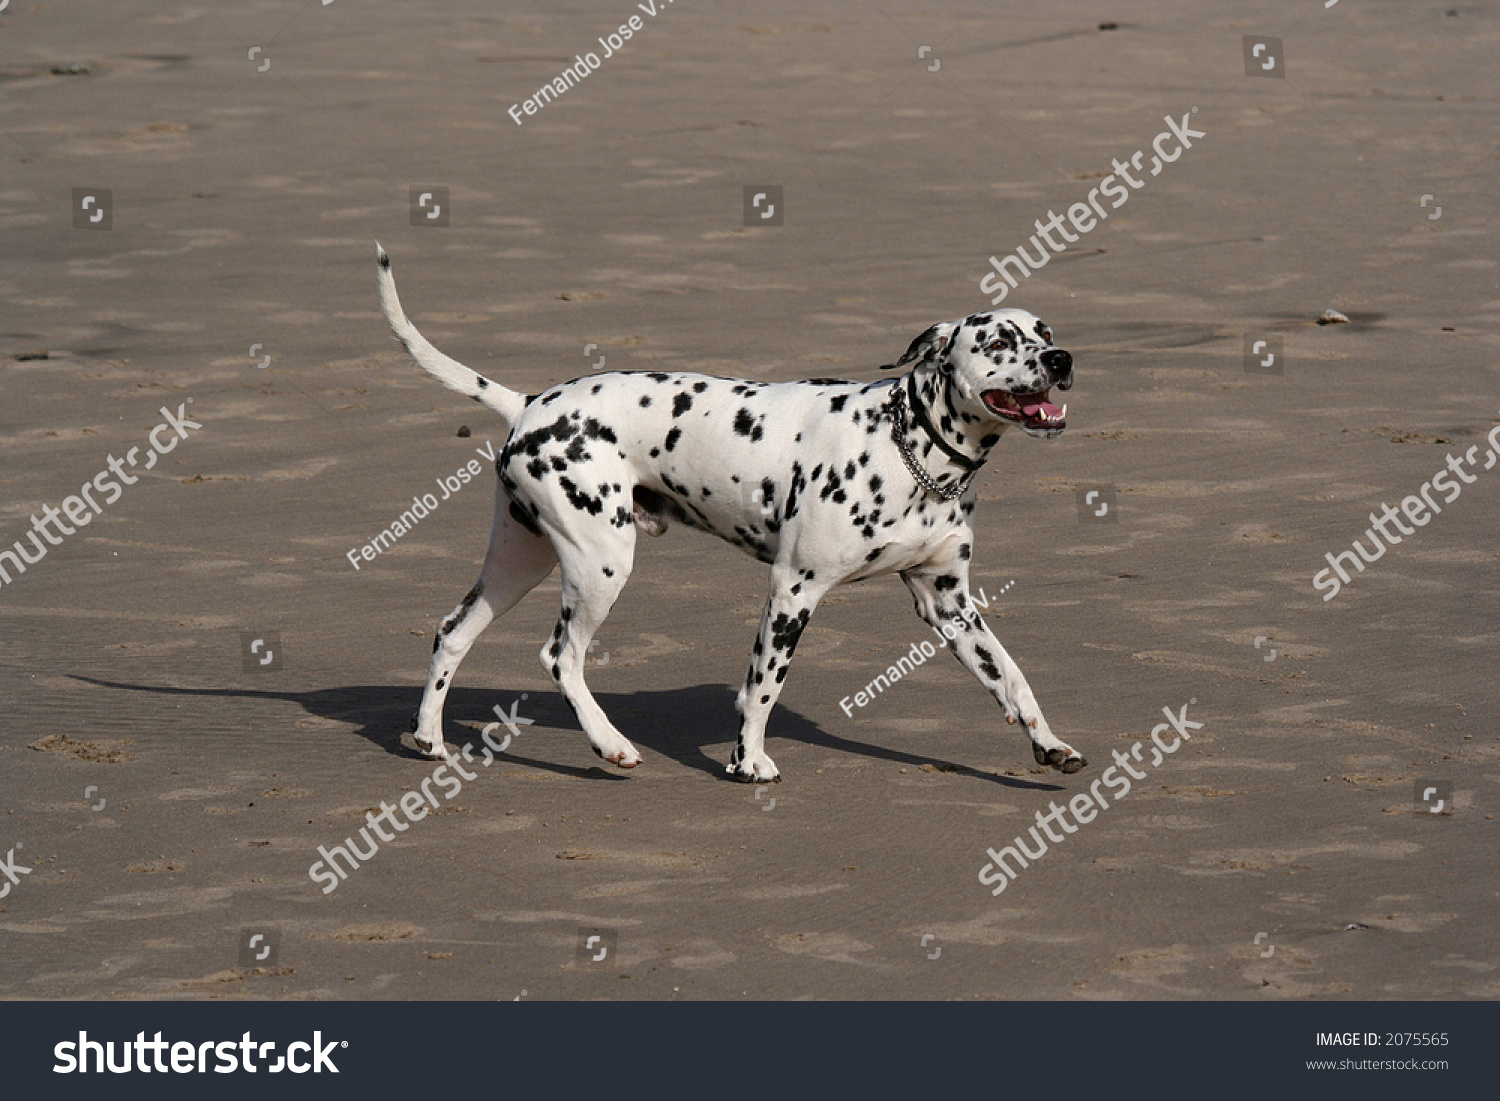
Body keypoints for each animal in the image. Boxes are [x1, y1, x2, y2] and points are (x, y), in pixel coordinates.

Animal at [372, 247, 1080, 792]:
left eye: (1044, 332)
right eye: (998, 341)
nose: (1062, 358)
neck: (906, 446)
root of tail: (529, 404)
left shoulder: (949, 604)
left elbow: (1013, 678)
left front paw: (1049, 744)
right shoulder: (794, 589)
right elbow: (764, 684)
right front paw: (748, 760)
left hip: (519, 564)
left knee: (452, 633)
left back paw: (429, 738)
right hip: (601, 566)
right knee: (560, 657)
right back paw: (610, 744)